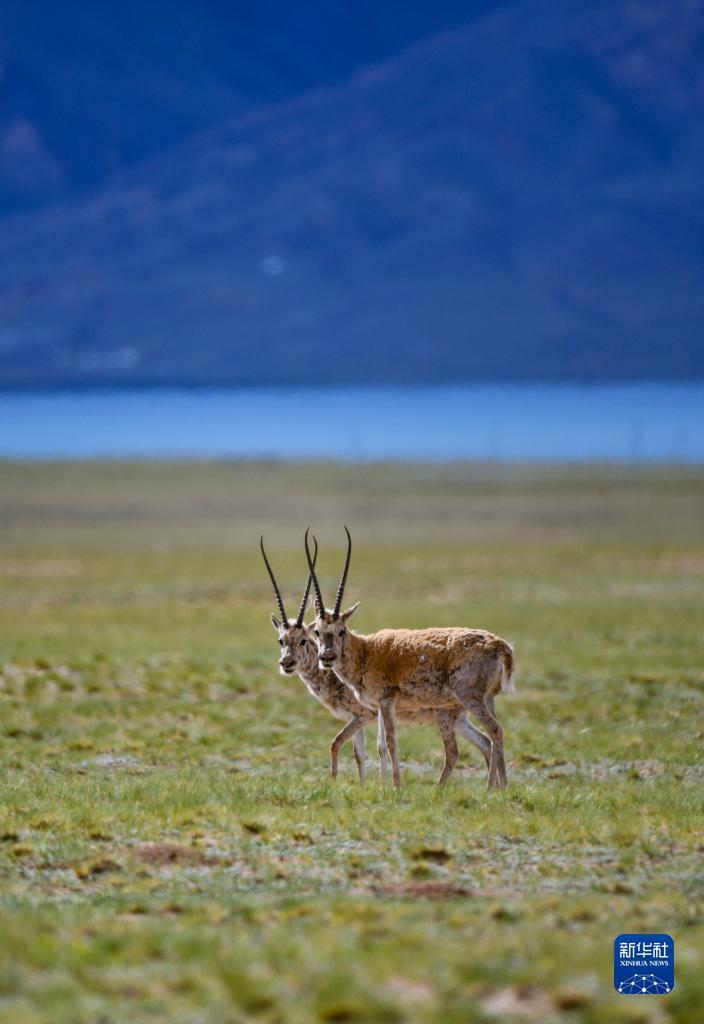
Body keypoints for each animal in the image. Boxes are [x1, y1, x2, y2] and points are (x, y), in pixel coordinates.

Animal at [258, 536, 489, 782]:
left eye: (303, 640)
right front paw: (366, 785)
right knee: (486, 742)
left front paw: (343, 783)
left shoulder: (362, 716)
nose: (287, 663)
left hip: (445, 717)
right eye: (281, 640)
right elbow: (359, 754)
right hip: (459, 719)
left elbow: (344, 744)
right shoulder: (362, 719)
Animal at [304, 528, 513, 790]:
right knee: (490, 737)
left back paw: (493, 790)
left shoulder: (386, 701)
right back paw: (498, 788)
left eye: (341, 630)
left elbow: (392, 743)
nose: (327, 657)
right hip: (485, 700)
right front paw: (386, 785)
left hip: (470, 698)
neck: (366, 651)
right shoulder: (378, 708)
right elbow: (381, 745)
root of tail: (499, 644)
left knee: (494, 731)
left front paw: (396, 786)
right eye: (317, 631)